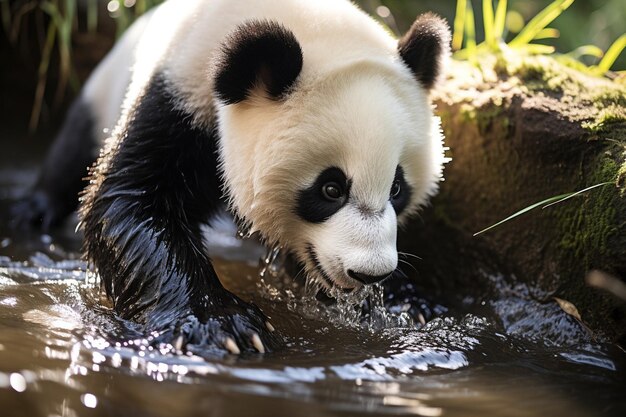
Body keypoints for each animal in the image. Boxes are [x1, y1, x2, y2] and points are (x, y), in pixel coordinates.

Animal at [13, 0, 448, 354]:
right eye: (331, 188)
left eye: (397, 188)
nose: (370, 272)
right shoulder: (180, 91)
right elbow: (130, 199)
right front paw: (222, 325)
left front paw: (407, 303)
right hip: (106, 86)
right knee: (73, 148)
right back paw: (36, 210)